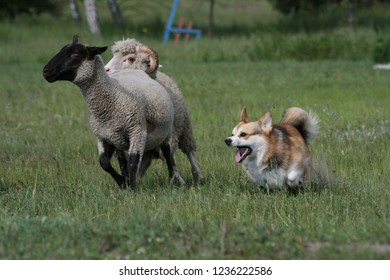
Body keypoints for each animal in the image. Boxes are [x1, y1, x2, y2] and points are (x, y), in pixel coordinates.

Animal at [42, 34, 185, 188]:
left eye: (75, 54)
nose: (45, 71)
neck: (112, 97)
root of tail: (138, 70)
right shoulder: (104, 137)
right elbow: (105, 163)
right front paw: (123, 183)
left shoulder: (137, 132)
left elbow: (133, 162)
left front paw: (132, 188)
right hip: (120, 141)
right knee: (124, 161)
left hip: (165, 133)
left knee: (167, 152)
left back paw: (172, 178)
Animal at [105, 38, 206, 184]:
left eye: (130, 59)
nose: (105, 69)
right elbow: (125, 164)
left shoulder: (169, 136)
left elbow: (171, 159)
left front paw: (179, 180)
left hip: (184, 127)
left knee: (189, 152)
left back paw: (198, 175)